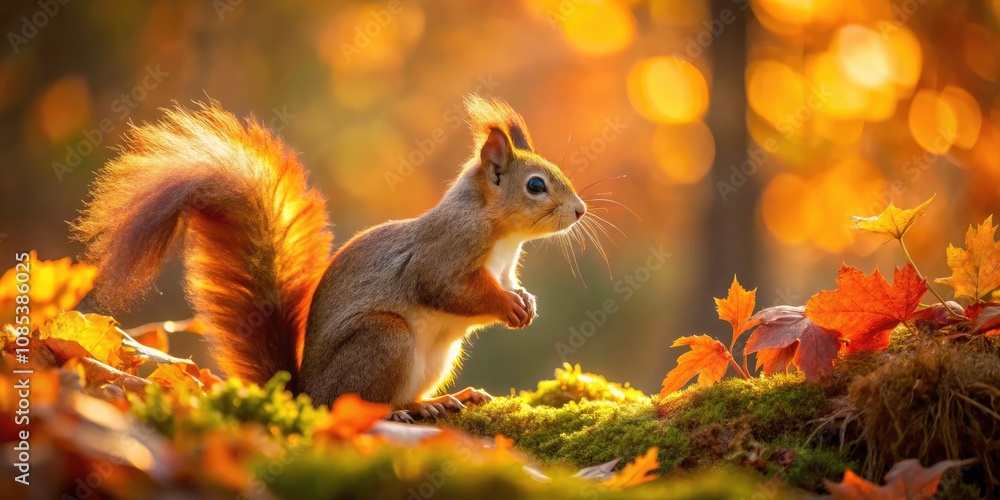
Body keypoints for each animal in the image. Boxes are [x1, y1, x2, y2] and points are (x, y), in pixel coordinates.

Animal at [72, 95, 587, 421]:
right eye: (536, 185)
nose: (580, 211)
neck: (502, 236)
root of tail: (306, 395)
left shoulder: (503, 268)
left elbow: (509, 285)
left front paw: (526, 301)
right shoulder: (445, 252)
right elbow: (446, 289)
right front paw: (507, 305)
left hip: (438, 356)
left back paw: (448, 397)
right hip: (383, 339)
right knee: (366, 405)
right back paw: (413, 408)